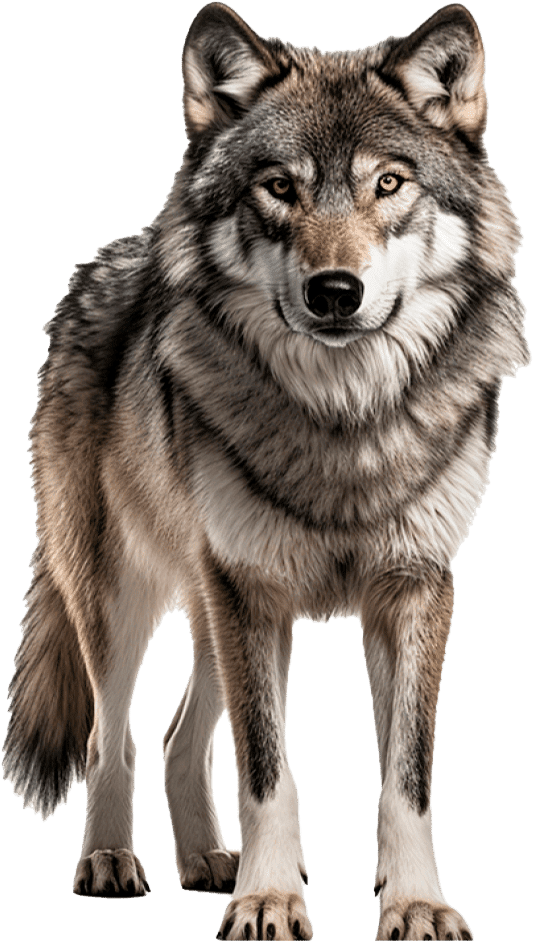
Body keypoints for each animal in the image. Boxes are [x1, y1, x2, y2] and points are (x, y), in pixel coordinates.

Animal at [3, 2, 529, 939]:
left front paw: (415, 901)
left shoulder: (413, 588)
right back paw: (111, 863)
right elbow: (265, 771)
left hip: (211, 612)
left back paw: (208, 863)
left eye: (389, 184)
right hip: (125, 599)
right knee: (114, 736)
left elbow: (407, 777)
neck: (344, 421)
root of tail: (106, 260)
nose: (335, 292)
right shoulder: (250, 591)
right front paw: (269, 900)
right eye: (279, 188)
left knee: (177, 736)